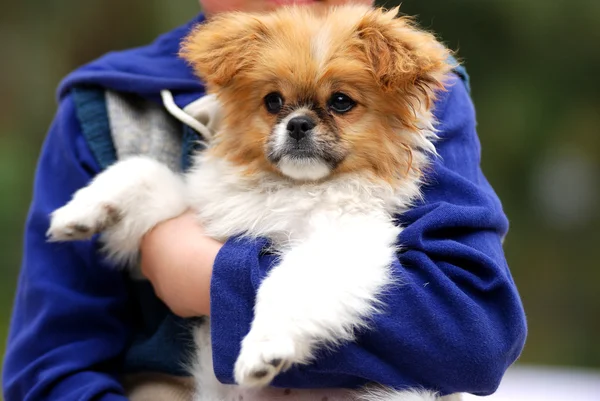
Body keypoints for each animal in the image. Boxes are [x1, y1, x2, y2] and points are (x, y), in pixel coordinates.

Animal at [48, 3, 460, 400]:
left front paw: (263, 350)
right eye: (273, 102)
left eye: (341, 102)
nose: (298, 123)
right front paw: (82, 212)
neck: (292, 188)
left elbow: (285, 284)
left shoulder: (341, 239)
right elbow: (144, 171)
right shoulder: (207, 207)